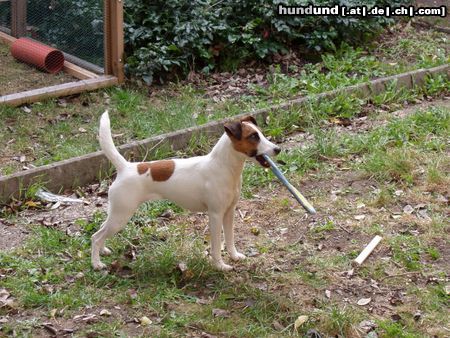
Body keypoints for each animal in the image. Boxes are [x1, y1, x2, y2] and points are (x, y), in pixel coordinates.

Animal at [91, 112, 280, 270]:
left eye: (261, 133)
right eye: (253, 136)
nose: (278, 149)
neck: (222, 166)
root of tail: (125, 167)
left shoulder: (229, 212)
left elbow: (230, 238)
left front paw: (234, 256)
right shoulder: (216, 215)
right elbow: (216, 245)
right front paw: (220, 266)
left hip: (116, 214)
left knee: (101, 229)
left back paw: (104, 250)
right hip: (121, 216)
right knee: (96, 236)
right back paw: (96, 264)